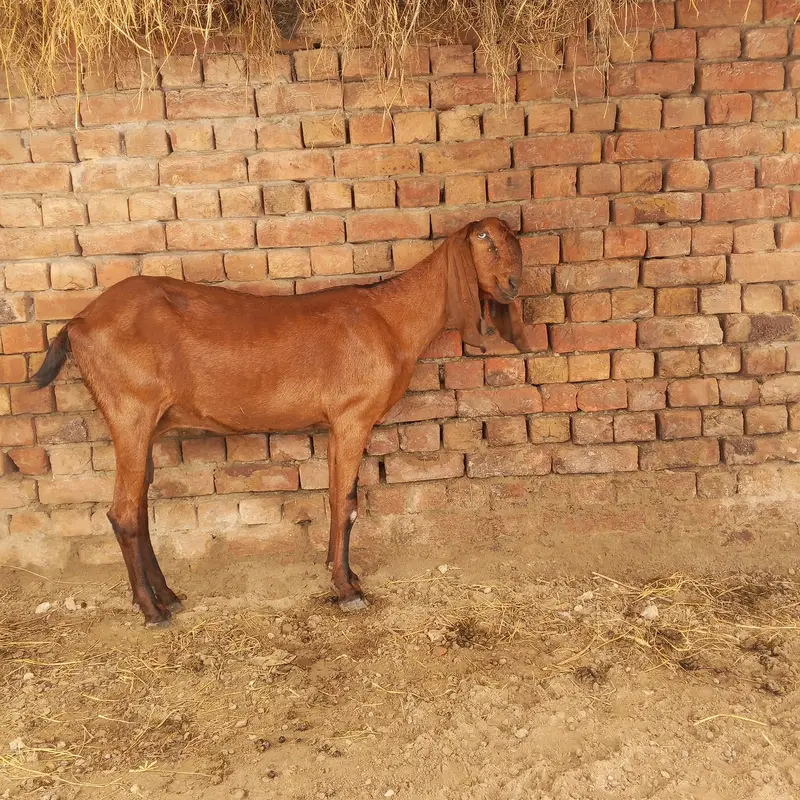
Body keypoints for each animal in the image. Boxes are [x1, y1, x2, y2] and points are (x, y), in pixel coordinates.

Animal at [32, 217, 528, 625]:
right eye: (485, 241)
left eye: (513, 241)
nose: (513, 285)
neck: (389, 318)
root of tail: (77, 323)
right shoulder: (352, 416)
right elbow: (346, 502)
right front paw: (347, 590)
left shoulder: (336, 423)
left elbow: (336, 497)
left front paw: (343, 576)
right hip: (129, 415)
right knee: (122, 513)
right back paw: (152, 611)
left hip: (147, 425)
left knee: (138, 508)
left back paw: (168, 596)